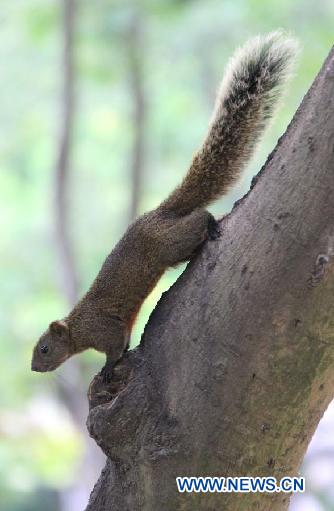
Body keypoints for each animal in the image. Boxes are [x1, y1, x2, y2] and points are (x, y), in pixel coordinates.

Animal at [32, 31, 298, 380]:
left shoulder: (103, 330)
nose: (34, 368)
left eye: (44, 348)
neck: (77, 328)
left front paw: (107, 369)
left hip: (170, 245)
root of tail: (158, 214)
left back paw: (211, 224)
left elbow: (114, 348)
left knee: (198, 220)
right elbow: (125, 341)